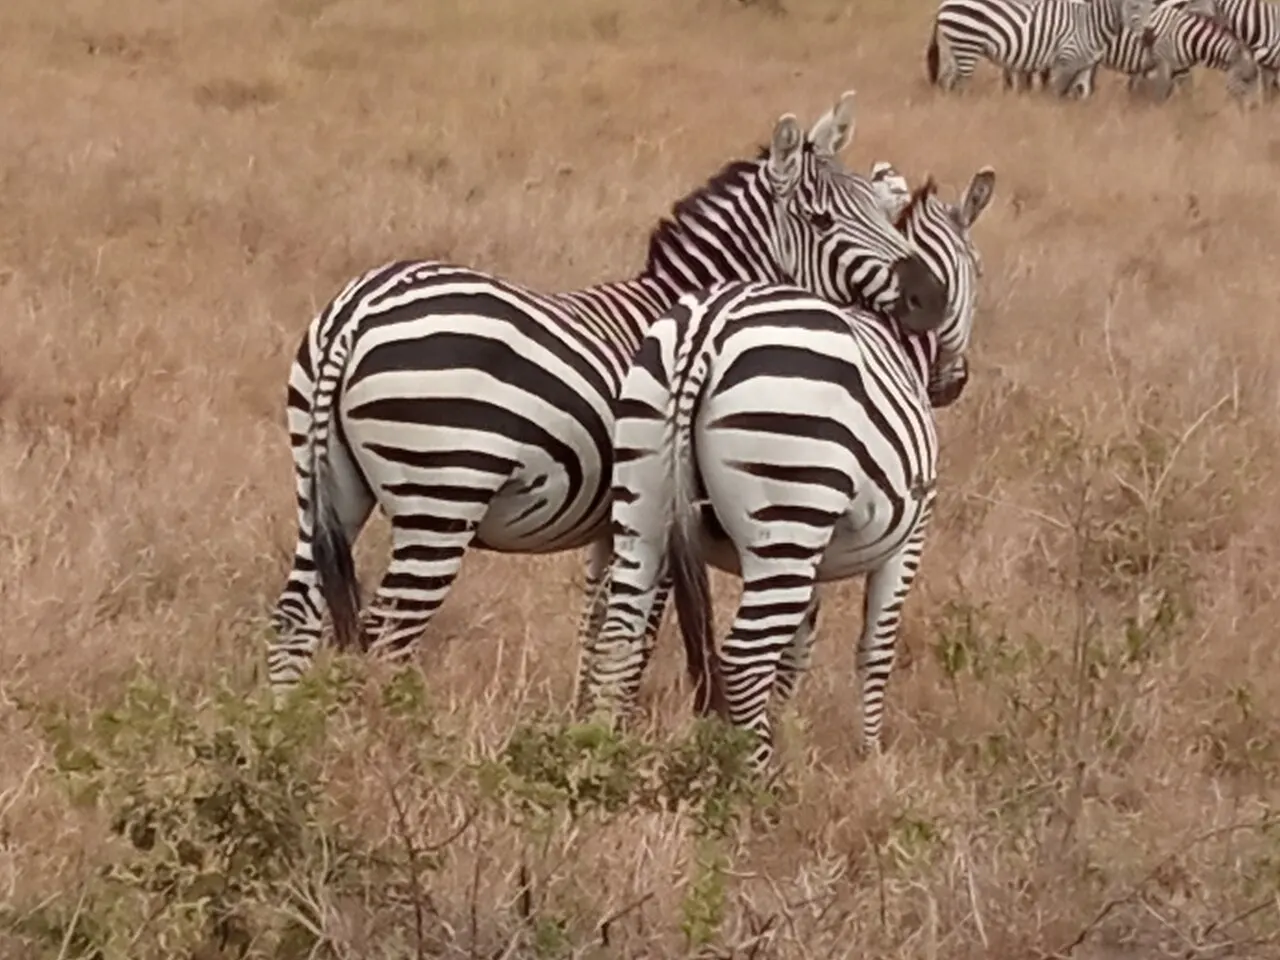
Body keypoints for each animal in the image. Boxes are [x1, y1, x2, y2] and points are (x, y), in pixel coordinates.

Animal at [265, 91, 951, 698]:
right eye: (821, 220)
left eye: (878, 209)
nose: (932, 295)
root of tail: (358, 310)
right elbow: (639, 638)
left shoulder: (610, 527)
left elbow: (598, 630)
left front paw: (585, 725)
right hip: (442, 492)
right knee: (388, 631)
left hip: (325, 487)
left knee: (295, 615)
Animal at [579, 166, 996, 769]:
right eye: (979, 270)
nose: (952, 384)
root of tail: (705, 332)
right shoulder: (909, 536)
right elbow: (875, 648)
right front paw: (870, 756)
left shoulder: (818, 555)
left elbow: (796, 652)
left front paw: (784, 731)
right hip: (787, 520)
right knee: (743, 658)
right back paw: (755, 776)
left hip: (644, 504)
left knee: (619, 637)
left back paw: (599, 752)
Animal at [927, 0, 1155, 97]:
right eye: (1134, 7)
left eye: (1151, 6)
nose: (1149, 37)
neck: (1090, 22)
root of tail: (942, 6)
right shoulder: (1066, 59)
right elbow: (1057, 93)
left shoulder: (1085, 65)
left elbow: (1081, 93)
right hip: (967, 44)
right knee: (960, 84)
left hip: (954, 48)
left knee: (946, 82)